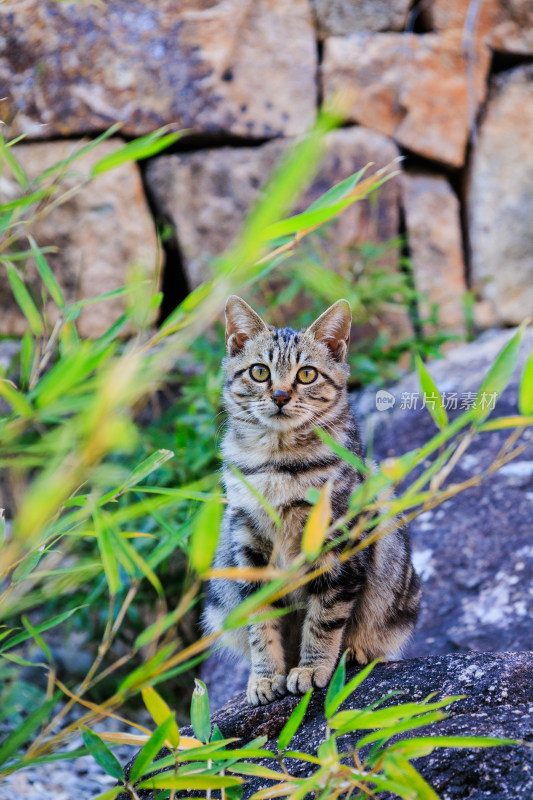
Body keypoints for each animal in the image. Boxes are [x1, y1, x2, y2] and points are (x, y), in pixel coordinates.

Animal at [204, 296, 420, 708]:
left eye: (306, 375)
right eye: (259, 372)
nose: (280, 396)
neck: (279, 463)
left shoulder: (338, 544)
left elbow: (325, 617)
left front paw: (311, 669)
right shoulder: (247, 543)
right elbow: (261, 622)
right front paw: (265, 677)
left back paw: (355, 654)